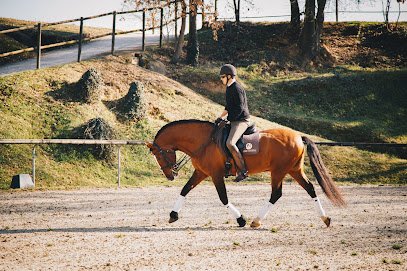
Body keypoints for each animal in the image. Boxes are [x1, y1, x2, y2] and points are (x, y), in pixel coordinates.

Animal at [147, 120, 348, 228]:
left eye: (159, 154)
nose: (170, 175)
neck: (203, 141)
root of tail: (298, 136)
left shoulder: (215, 174)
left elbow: (223, 198)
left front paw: (241, 219)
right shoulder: (201, 172)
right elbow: (185, 190)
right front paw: (173, 215)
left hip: (279, 171)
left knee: (276, 194)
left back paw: (255, 221)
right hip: (294, 170)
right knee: (310, 188)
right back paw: (325, 219)